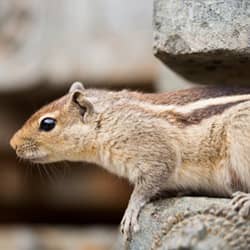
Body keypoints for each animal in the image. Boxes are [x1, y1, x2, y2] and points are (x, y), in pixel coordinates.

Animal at [9, 83, 250, 241]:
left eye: (47, 123)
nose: (12, 143)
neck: (109, 120)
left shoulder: (156, 153)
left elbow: (145, 186)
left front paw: (130, 211)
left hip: (239, 129)